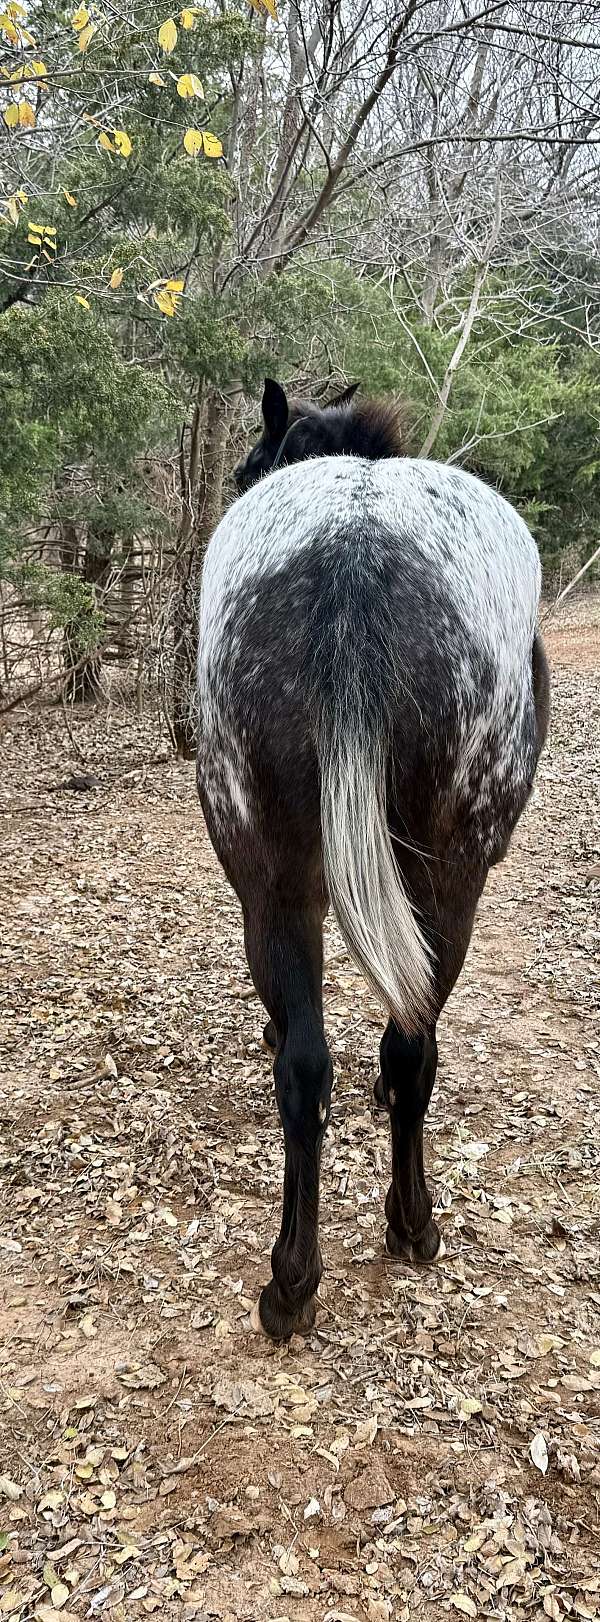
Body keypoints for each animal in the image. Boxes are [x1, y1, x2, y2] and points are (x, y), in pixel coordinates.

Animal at [195, 379, 548, 1343]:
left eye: (247, 465)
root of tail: (357, 554)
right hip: (446, 884)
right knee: (405, 1043)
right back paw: (394, 1232)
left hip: (280, 884)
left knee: (321, 1061)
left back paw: (301, 1276)